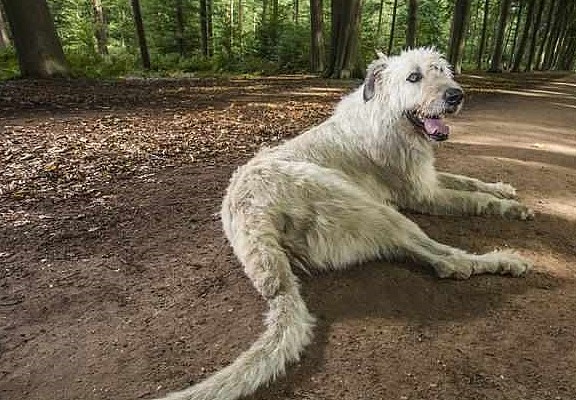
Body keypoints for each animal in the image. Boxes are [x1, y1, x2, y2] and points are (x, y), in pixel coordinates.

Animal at [155, 47, 532, 400]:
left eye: (442, 70)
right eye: (413, 77)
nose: (456, 95)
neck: (386, 115)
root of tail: (253, 219)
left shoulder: (429, 178)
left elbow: (469, 181)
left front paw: (505, 191)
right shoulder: (423, 195)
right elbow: (472, 199)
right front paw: (508, 207)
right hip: (373, 209)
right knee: (447, 261)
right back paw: (505, 260)